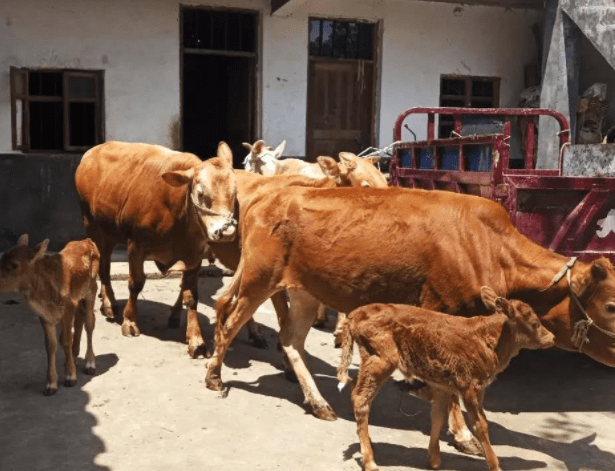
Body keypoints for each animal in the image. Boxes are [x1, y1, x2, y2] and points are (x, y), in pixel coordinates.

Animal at [0, 235, 100, 394]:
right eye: (1, 259)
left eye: (14, 265)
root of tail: (88, 240)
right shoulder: (45, 316)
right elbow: (50, 345)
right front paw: (51, 384)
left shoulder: (68, 307)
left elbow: (65, 340)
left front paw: (70, 378)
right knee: (80, 318)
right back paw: (73, 357)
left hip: (92, 288)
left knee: (90, 322)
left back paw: (90, 364)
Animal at [72, 140, 236, 358]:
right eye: (201, 194)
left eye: (234, 192)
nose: (226, 232)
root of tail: (92, 152)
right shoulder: (136, 245)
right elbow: (136, 284)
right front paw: (130, 322)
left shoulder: (194, 254)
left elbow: (191, 296)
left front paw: (196, 340)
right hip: (93, 227)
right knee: (104, 269)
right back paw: (109, 304)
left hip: (109, 231)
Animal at [205, 186, 615, 448]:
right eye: (611, 306)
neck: (489, 247)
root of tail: (267, 196)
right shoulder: (441, 310)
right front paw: (463, 434)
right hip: (260, 276)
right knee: (229, 322)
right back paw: (214, 376)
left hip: (304, 288)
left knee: (290, 340)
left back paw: (319, 403)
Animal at [340, 286, 556, 470]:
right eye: (535, 323)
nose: (552, 338)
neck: (489, 339)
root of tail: (355, 314)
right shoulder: (471, 388)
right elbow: (481, 425)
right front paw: (495, 465)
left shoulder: (443, 385)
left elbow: (438, 416)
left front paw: (434, 459)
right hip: (379, 359)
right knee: (361, 399)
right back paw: (369, 461)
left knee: (355, 389)